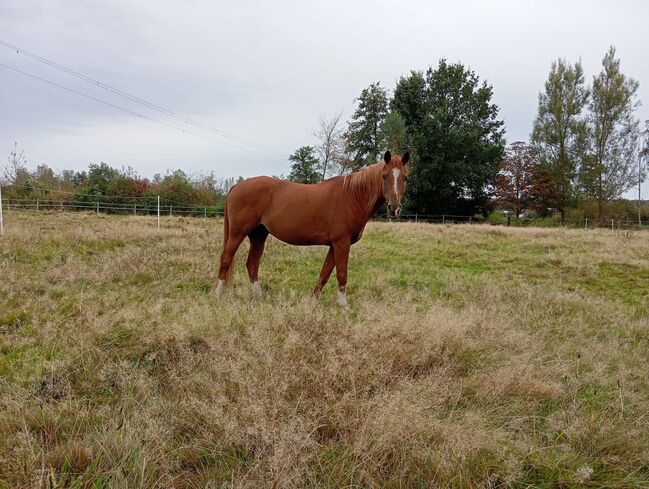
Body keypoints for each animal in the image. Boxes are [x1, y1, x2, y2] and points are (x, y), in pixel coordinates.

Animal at [218, 151, 410, 306]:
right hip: (238, 232)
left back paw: (258, 296)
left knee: (252, 263)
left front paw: (312, 299)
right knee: (226, 258)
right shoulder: (341, 242)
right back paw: (217, 294)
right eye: (384, 176)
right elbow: (341, 273)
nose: (394, 208)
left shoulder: (334, 245)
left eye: (405, 178)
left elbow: (325, 272)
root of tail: (236, 186)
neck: (352, 195)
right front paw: (343, 305)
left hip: (258, 234)